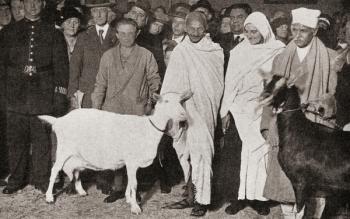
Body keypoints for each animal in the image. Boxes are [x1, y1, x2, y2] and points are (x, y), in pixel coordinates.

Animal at [39, 90, 193, 214]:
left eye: (181, 101)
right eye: (166, 101)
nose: (183, 115)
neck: (148, 128)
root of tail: (59, 120)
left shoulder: (130, 163)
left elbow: (130, 182)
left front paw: (128, 199)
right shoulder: (132, 161)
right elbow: (134, 184)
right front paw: (135, 207)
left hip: (76, 154)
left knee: (76, 170)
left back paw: (81, 191)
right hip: (63, 149)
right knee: (55, 170)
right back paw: (49, 197)